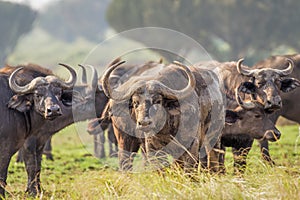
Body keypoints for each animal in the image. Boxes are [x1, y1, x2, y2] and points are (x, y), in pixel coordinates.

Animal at [0, 63, 77, 197]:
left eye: (58, 92)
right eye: (37, 94)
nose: (53, 110)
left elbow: (35, 165)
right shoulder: (7, 147)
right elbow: (4, 173)